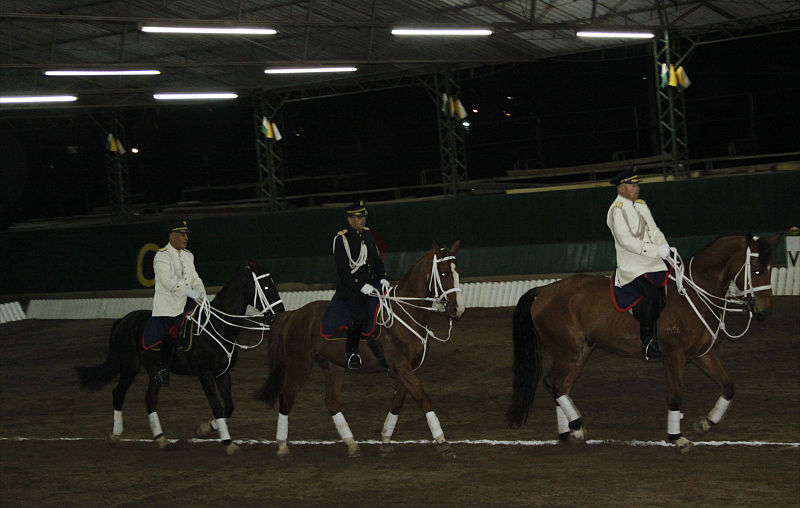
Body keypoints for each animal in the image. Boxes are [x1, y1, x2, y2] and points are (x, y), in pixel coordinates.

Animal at [77, 262, 284, 452]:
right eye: (266, 286)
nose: (280, 314)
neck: (215, 328)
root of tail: (123, 320)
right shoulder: (205, 374)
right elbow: (217, 406)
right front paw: (228, 442)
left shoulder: (223, 374)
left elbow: (229, 407)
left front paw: (204, 429)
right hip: (129, 366)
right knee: (118, 393)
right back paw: (115, 434)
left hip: (155, 371)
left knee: (150, 399)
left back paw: (161, 438)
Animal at [253, 240, 466, 458]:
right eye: (443, 273)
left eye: (458, 272)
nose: (457, 310)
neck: (405, 313)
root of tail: (293, 314)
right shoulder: (401, 367)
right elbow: (423, 399)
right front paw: (442, 442)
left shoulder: (409, 369)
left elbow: (398, 403)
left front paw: (386, 439)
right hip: (299, 364)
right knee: (286, 398)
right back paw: (282, 446)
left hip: (333, 366)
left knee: (331, 401)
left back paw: (352, 444)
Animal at [510, 234, 780, 452]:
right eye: (756, 270)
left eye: (770, 269)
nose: (765, 310)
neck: (694, 293)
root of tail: (544, 291)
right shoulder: (674, 355)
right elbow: (675, 395)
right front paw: (677, 438)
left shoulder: (702, 354)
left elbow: (728, 386)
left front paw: (706, 422)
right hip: (569, 351)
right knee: (553, 383)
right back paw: (576, 425)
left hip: (581, 351)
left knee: (562, 385)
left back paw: (570, 432)